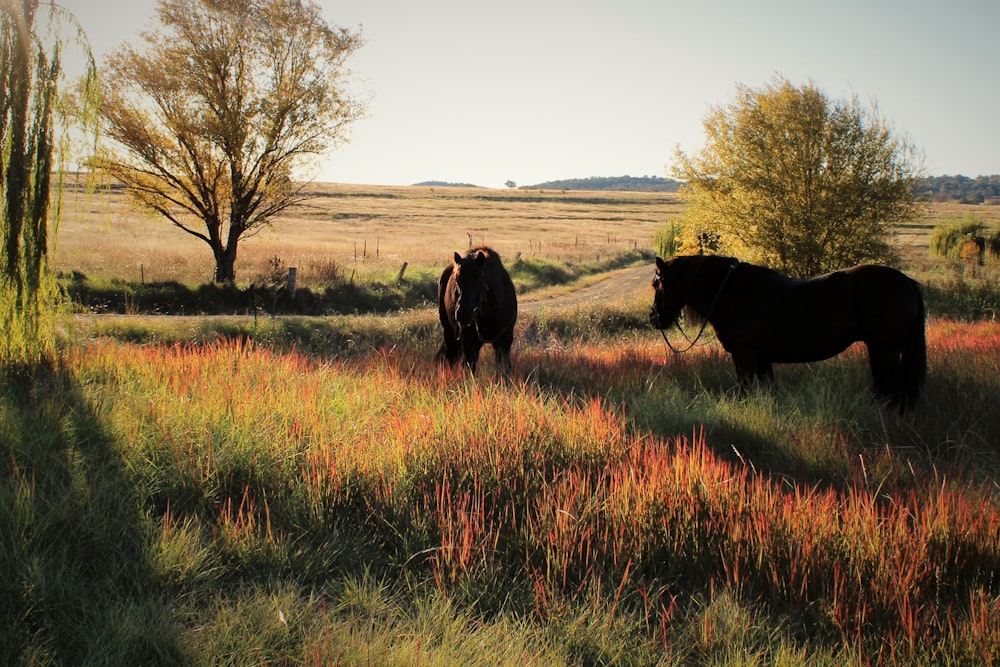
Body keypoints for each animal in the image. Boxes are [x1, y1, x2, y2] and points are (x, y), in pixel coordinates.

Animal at [648, 256, 928, 410]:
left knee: (894, 385)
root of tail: (907, 282)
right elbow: (767, 390)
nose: (654, 318)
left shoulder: (745, 355)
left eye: (656, 283)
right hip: (878, 349)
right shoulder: (762, 359)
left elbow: (745, 388)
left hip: (886, 349)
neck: (732, 292)